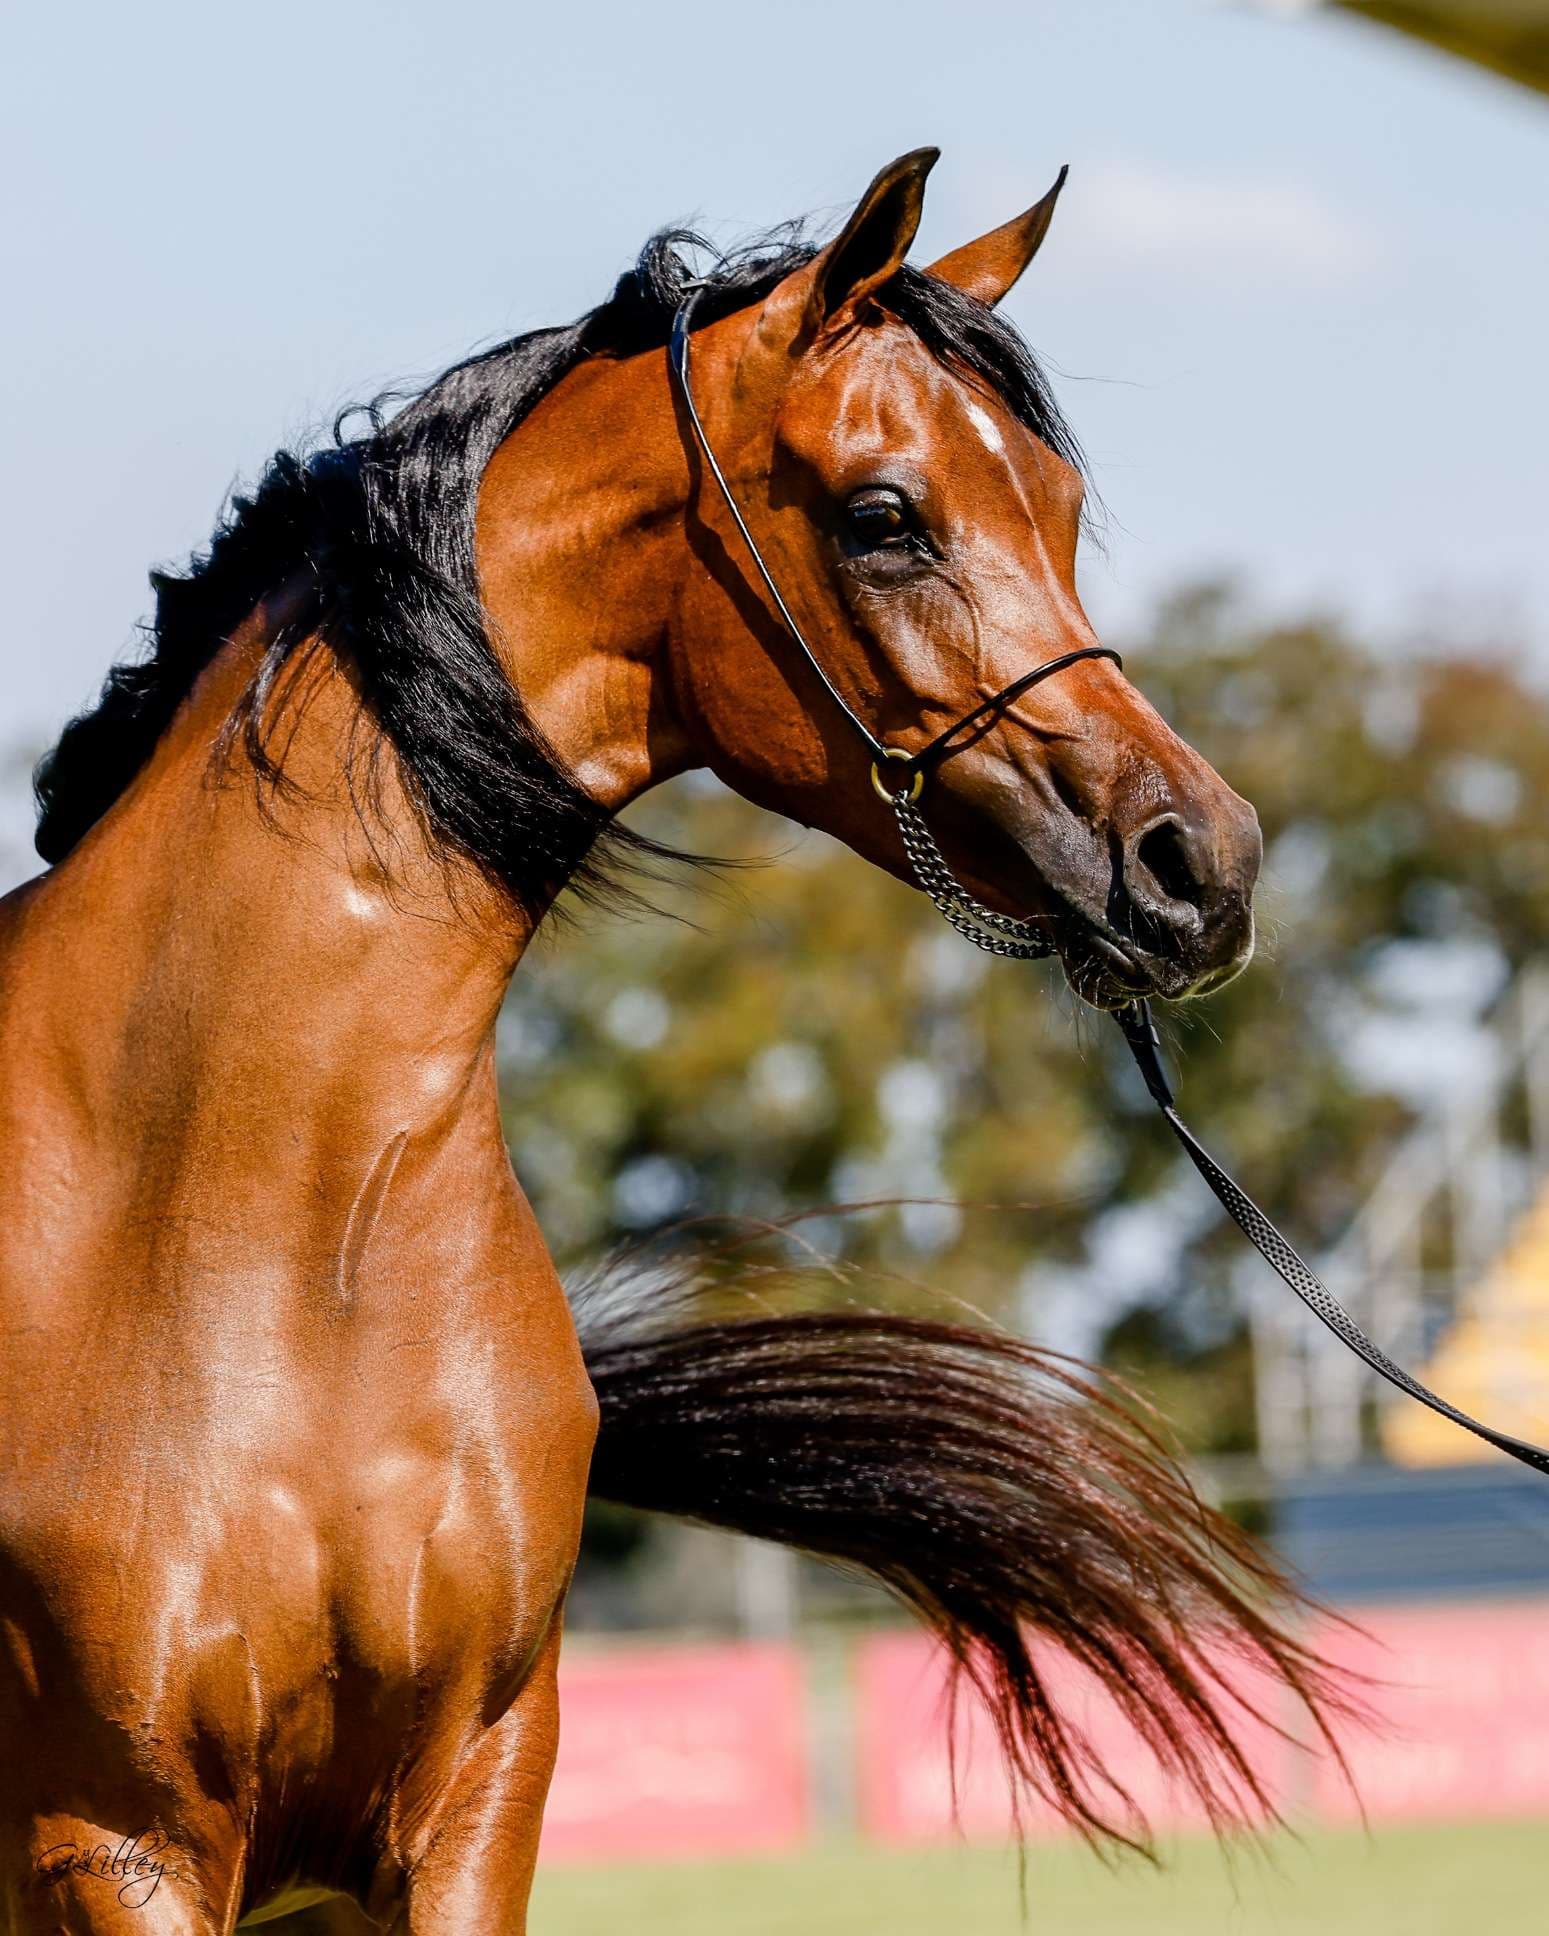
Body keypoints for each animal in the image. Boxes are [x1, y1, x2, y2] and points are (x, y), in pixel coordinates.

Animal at [0, 154, 1332, 1936]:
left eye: (1055, 508)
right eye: (883, 516)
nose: (1200, 865)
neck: (244, 1226)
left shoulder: (471, 1806)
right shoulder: (112, 1843)